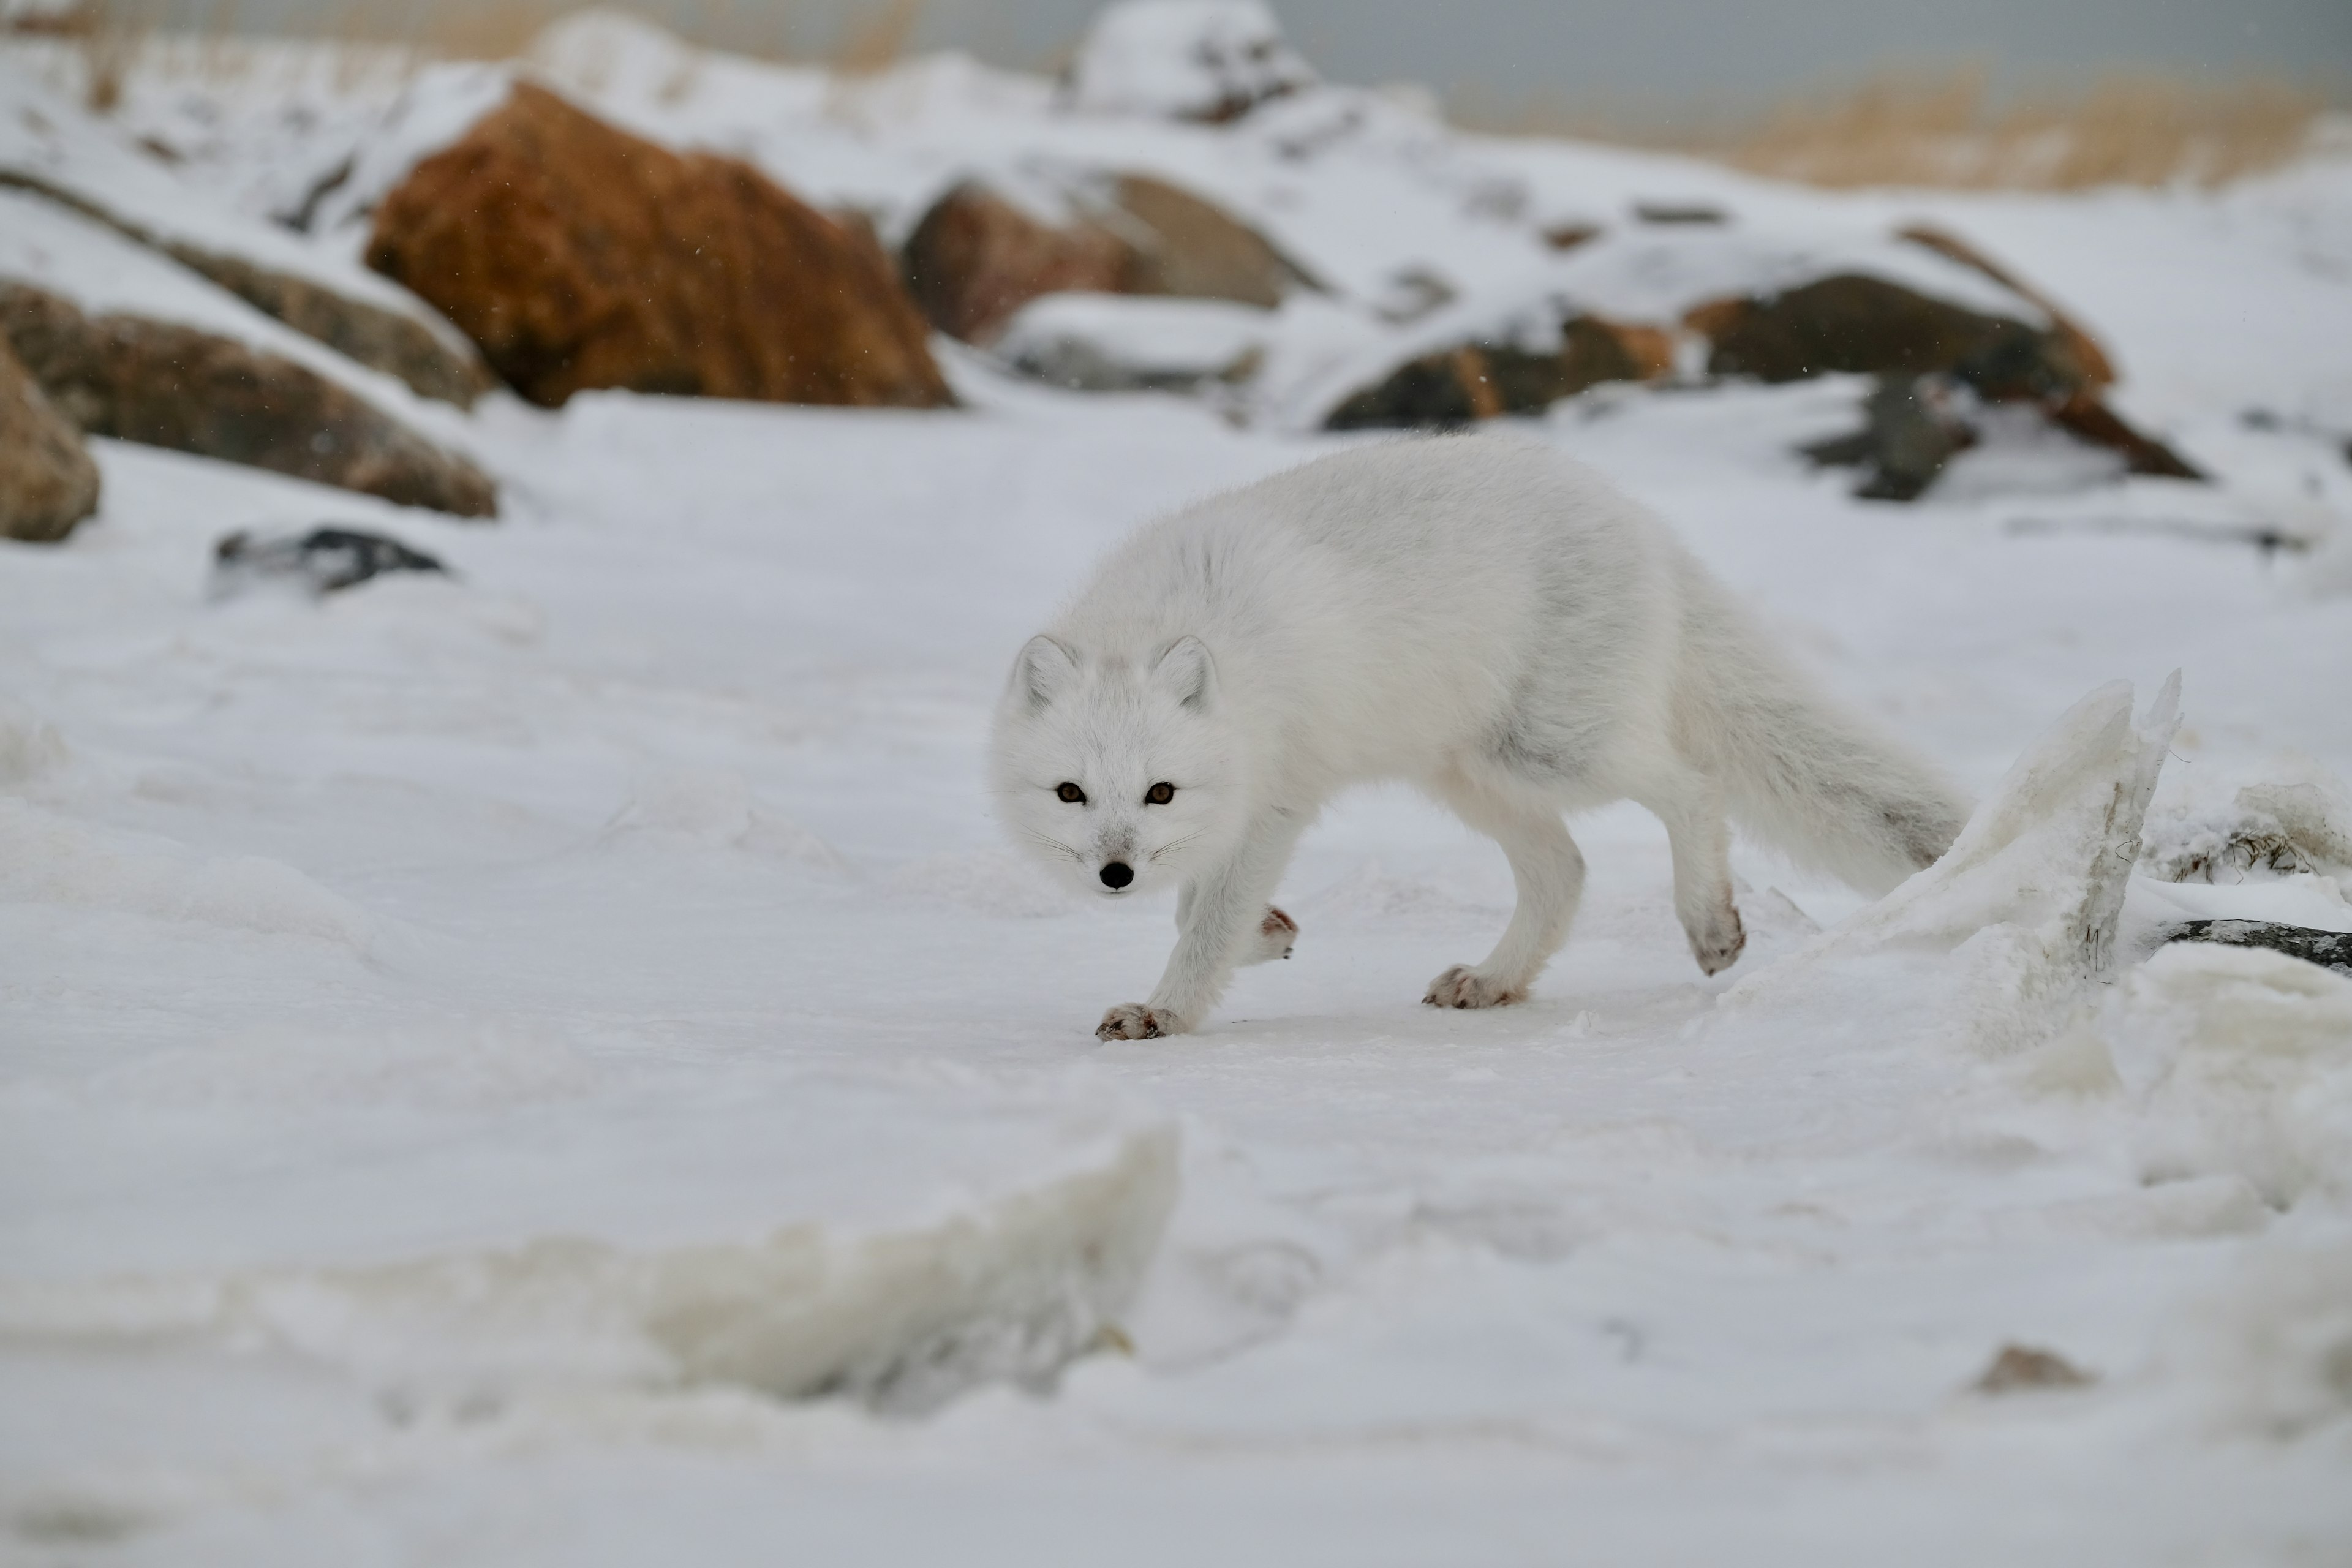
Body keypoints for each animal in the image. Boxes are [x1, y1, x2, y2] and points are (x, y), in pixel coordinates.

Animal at [992, 432, 1966, 1044]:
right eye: (1072, 793)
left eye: (1158, 791)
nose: (1116, 875)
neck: (1168, 620)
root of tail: (1638, 518)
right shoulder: (1246, 804)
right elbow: (1203, 908)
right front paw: (1266, 935)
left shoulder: (1275, 802)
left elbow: (1202, 923)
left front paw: (1165, 1012)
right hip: (1471, 772)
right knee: (1565, 870)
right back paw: (1496, 981)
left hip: (1552, 748)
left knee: (1693, 786)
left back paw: (1711, 926)